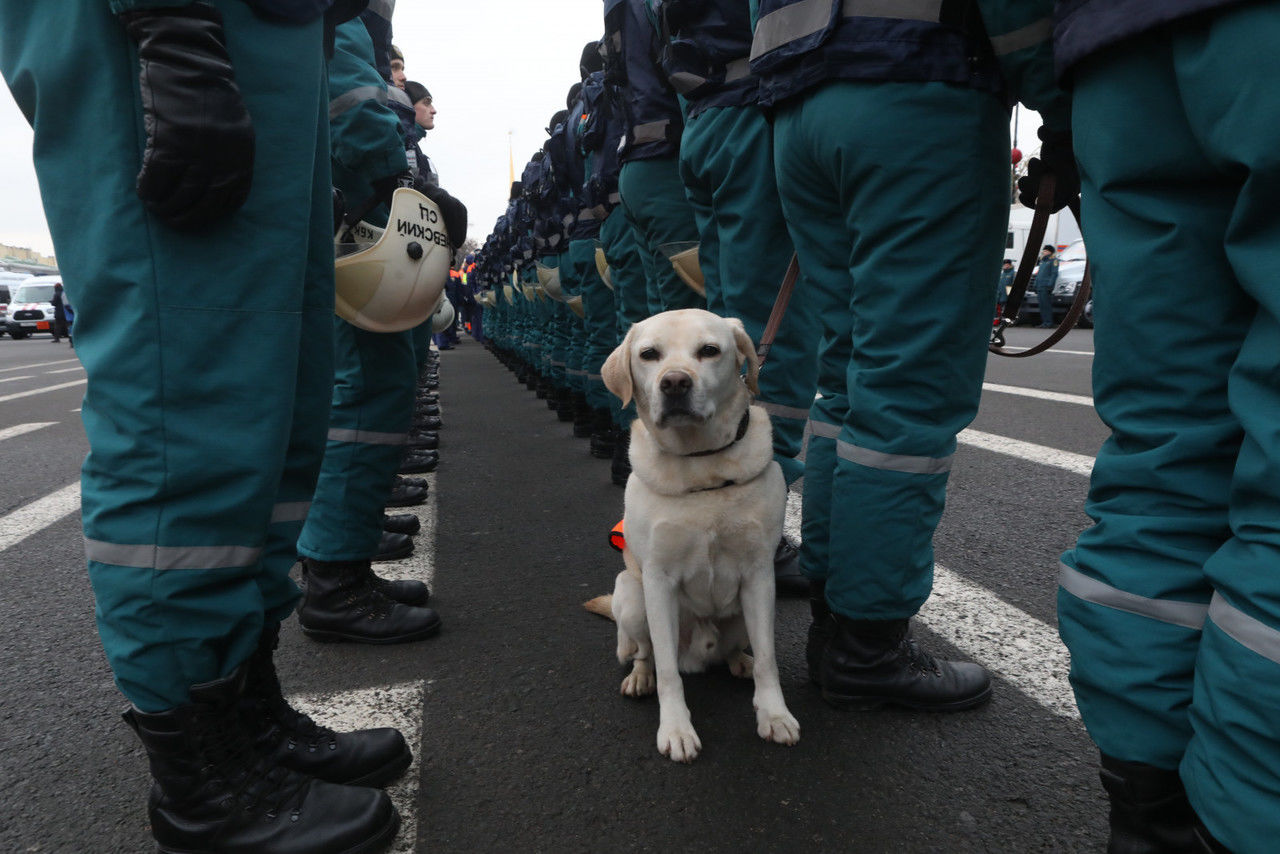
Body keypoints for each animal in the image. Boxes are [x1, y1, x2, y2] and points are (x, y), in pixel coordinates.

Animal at [601, 307, 798, 763]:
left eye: (709, 350)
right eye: (649, 354)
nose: (674, 382)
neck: (701, 464)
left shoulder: (759, 574)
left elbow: (768, 658)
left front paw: (774, 714)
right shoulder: (657, 581)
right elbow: (667, 672)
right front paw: (676, 729)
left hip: (746, 611)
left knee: (737, 649)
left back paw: (740, 663)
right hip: (632, 595)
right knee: (646, 653)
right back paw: (641, 677)